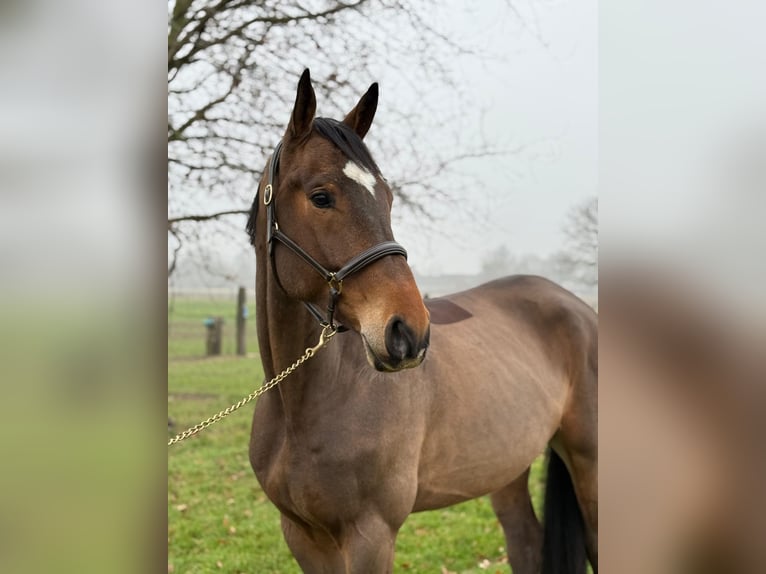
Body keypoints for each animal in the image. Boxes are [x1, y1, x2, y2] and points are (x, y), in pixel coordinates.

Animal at [246, 69, 597, 574]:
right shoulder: (302, 536)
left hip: (589, 464)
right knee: (527, 544)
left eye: (389, 198)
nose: (408, 332)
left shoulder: (371, 536)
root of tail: (580, 308)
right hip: (505, 467)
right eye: (320, 197)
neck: (304, 406)